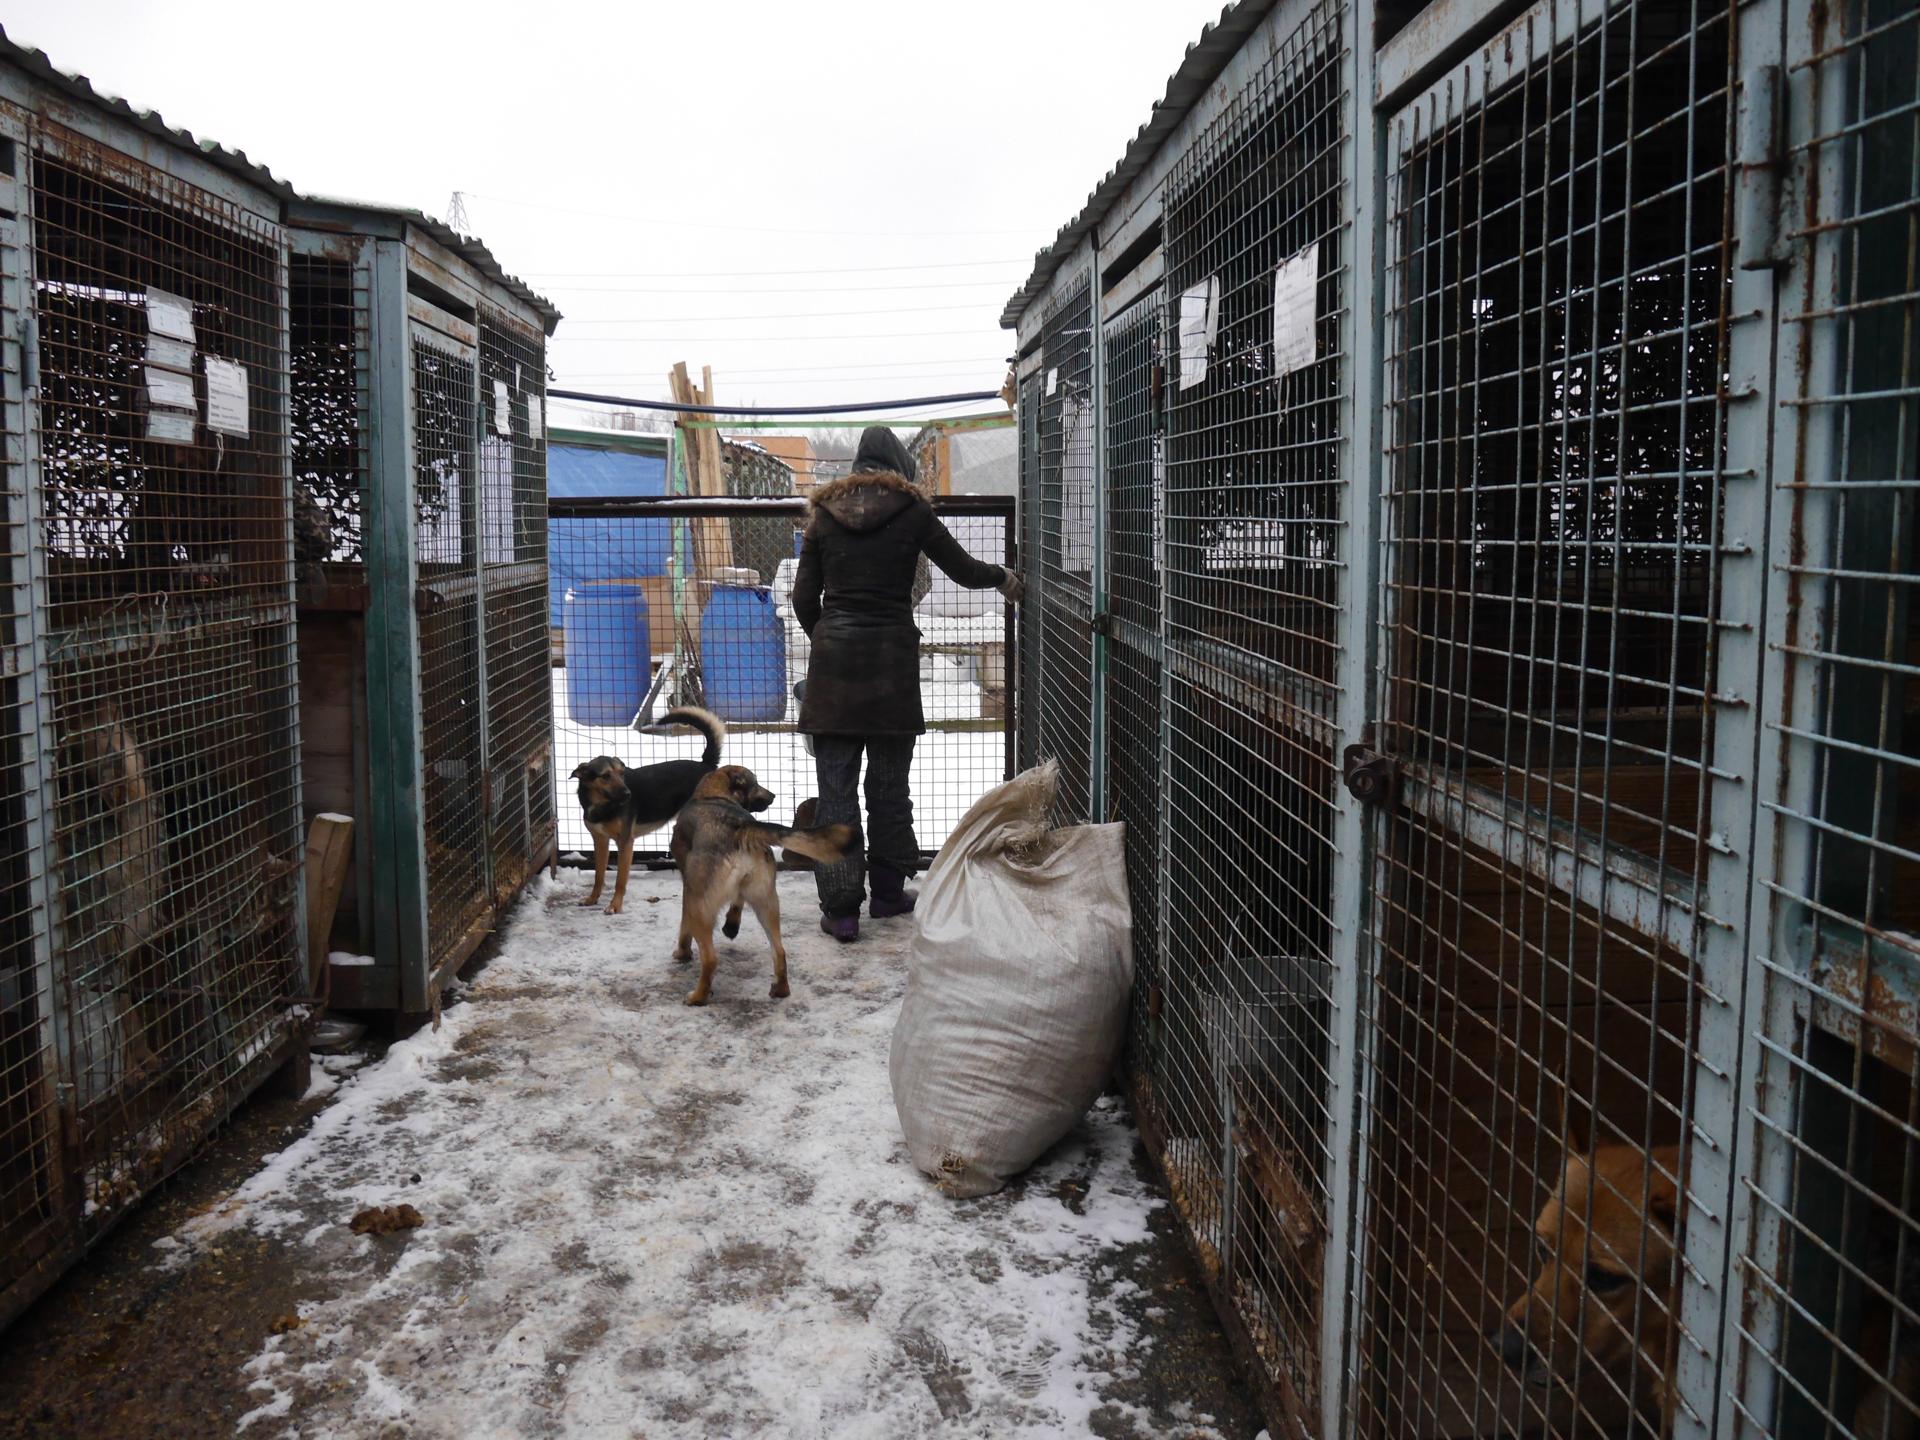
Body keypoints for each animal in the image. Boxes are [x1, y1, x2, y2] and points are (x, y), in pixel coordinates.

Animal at [568, 706, 725, 913]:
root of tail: (706, 764)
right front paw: (592, 899)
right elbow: (598, 876)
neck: (603, 804)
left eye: (621, 773)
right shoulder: (600, 841)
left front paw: (615, 906)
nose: (628, 794)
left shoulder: (625, 842)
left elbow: (620, 881)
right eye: (606, 776)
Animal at [675, 768, 856, 1013]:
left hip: (701, 906)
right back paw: (780, 989)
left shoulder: (689, 889)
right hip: (767, 901)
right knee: (780, 951)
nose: (772, 796)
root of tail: (741, 828)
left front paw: (682, 953)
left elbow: (684, 926)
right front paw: (731, 926)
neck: (713, 794)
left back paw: (698, 997)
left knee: (711, 959)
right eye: (755, 783)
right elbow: (737, 902)